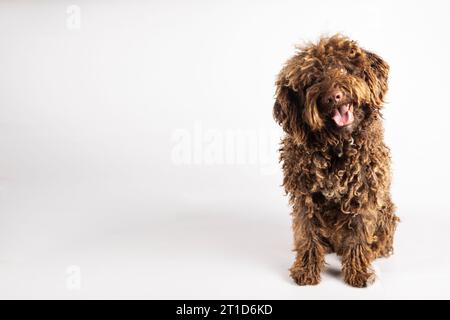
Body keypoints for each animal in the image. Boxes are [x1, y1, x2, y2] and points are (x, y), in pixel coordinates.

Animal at [272, 35, 400, 288]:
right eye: (311, 81)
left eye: (342, 68)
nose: (332, 97)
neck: (336, 147)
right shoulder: (305, 195)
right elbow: (307, 233)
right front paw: (307, 269)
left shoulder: (364, 192)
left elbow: (359, 234)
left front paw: (358, 271)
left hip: (386, 213)